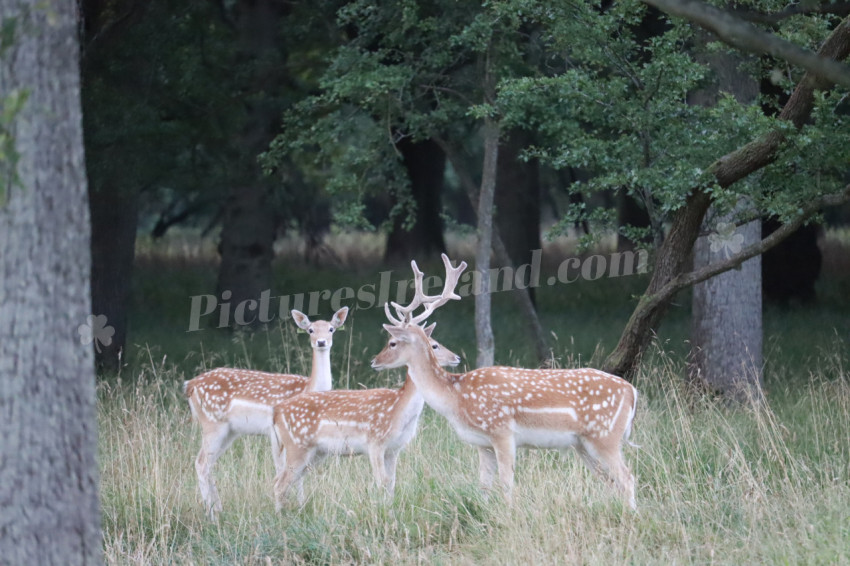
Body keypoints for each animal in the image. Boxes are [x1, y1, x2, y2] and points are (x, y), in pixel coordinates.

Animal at [184, 308, 346, 516]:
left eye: (331, 329)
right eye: (310, 330)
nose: (321, 342)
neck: (308, 388)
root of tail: (190, 385)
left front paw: (301, 505)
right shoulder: (276, 433)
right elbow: (282, 469)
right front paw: (288, 507)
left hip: (229, 431)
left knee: (208, 464)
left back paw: (219, 509)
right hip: (212, 423)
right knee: (201, 462)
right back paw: (211, 514)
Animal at [272, 262, 464, 510]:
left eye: (392, 343)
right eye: (434, 345)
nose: (457, 357)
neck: (399, 410)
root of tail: (276, 412)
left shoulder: (394, 449)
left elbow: (392, 483)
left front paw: (390, 511)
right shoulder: (375, 442)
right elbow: (382, 482)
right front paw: (384, 514)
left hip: (315, 451)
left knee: (285, 480)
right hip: (297, 445)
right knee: (279, 483)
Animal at [370, 255, 636, 512]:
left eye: (392, 342)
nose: (374, 361)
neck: (456, 398)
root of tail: (632, 392)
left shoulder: (502, 431)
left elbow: (506, 482)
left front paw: (510, 516)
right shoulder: (482, 444)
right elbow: (484, 486)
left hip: (605, 435)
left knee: (627, 477)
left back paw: (632, 515)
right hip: (583, 443)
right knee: (609, 480)